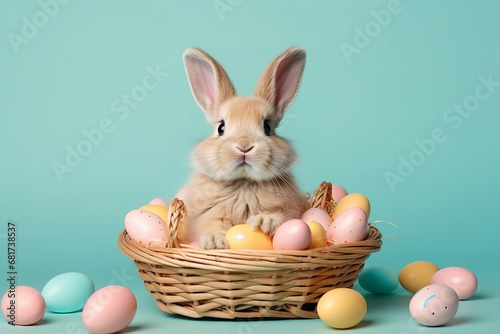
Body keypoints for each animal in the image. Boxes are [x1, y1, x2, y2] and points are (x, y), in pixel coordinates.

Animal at [180, 46, 308, 250]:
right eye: (221, 127)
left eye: (267, 127)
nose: (244, 147)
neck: (243, 182)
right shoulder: (206, 216)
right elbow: (210, 225)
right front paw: (215, 241)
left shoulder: (289, 210)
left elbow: (281, 216)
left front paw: (263, 222)